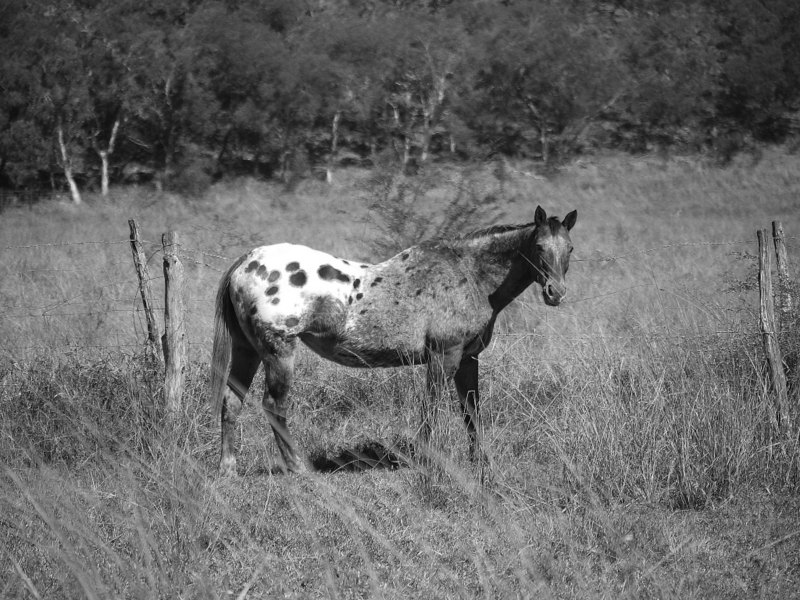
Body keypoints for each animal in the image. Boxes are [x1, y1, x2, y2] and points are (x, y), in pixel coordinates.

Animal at [209, 204, 580, 476]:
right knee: (274, 406)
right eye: (539, 247)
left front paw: (481, 464)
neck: (471, 275)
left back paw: (228, 469)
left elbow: (471, 411)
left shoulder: (468, 359)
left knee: (232, 401)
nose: (556, 293)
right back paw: (299, 468)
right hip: (279, 352)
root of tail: (246, 262)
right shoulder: (444, 356)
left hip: (247, 350)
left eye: (570, 248)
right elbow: (432, 409)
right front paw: (426, 460)